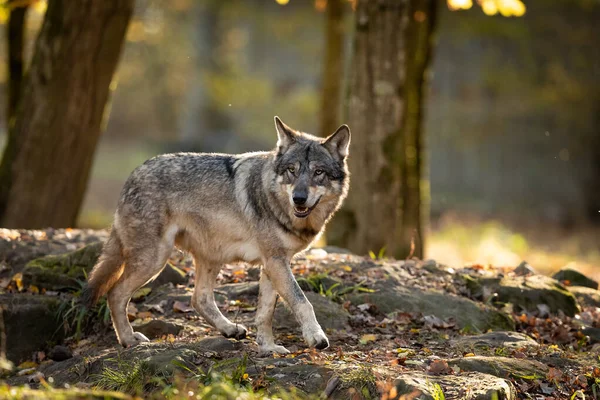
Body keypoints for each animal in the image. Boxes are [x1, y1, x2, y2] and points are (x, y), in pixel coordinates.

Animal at [82, 117, 350, 354]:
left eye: (318, 172)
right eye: (292, 171)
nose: (299, 198)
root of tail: (133, 174)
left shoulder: (273, 263)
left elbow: (265, 313)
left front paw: (268, 348)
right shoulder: (275, 261)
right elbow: (302, 301)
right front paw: (316, 337)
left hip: (210, 257)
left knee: (198, 299)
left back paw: (229, 329)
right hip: (155, 259)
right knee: (115, 293)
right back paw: (128, 339)